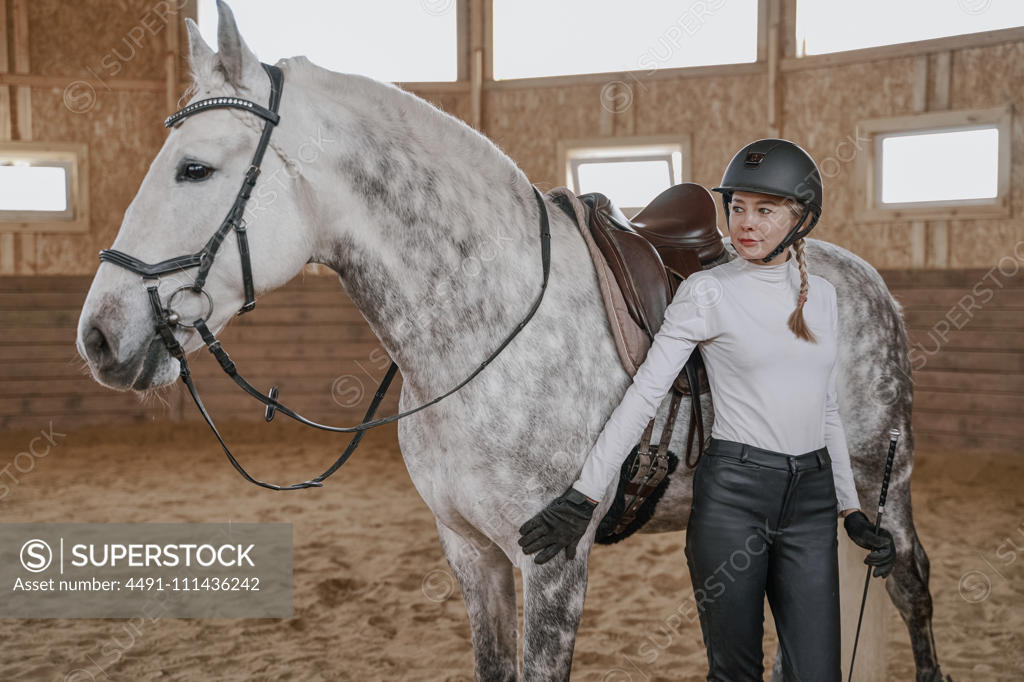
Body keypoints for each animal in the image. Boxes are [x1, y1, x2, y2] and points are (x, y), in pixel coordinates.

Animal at [77, 2, 950, 675]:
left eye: (194, 168)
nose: (99, 335)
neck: (487, 332)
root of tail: (865, 281)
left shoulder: (552, 560)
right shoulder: (472, 553)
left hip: (880, 486)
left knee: (910, 584)